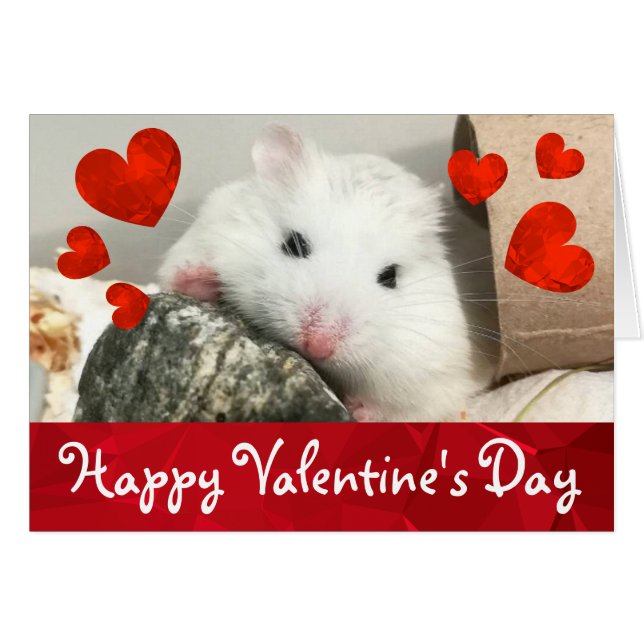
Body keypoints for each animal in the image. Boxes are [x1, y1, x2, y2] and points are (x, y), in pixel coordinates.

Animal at [158, 125, 498, 421]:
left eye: (390, 276)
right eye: (294, 244)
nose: (317, 346)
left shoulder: (436, 376)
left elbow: (406, 408)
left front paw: (358, 409)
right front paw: (200, 276)